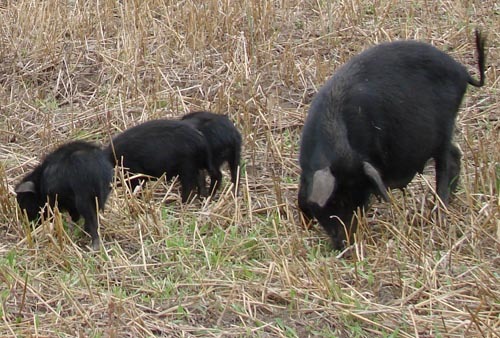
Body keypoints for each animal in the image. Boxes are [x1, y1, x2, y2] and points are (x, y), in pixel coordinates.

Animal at [298, 31, 486, 248]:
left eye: (360, 202)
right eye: (337, 202)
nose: (346, 244)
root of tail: (462, 71)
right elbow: (301, 197)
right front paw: (305, 225)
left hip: (445, 129)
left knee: (446, 165)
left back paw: (437, 214)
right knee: (456, 154)